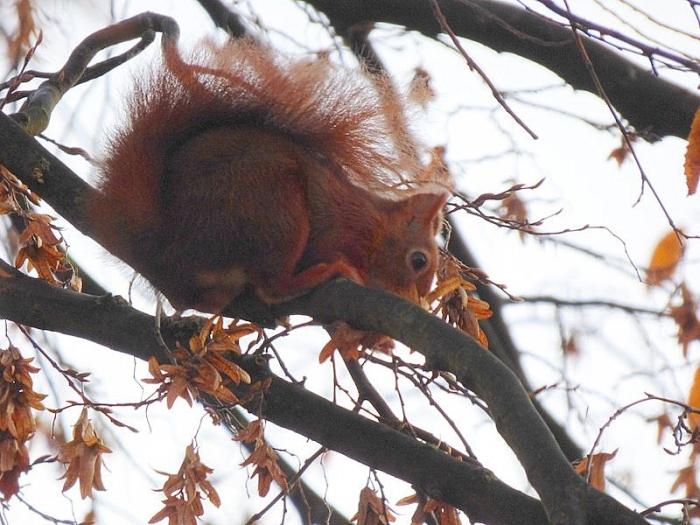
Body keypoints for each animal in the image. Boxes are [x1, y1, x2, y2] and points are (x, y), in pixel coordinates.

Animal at [89, 39, 450, 313]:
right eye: (418, 260)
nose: (415, 302)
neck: (373, 225)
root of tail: (164, 249)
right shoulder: (339, 229)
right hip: (275, 209)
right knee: (273, 286)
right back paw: (323, 273)